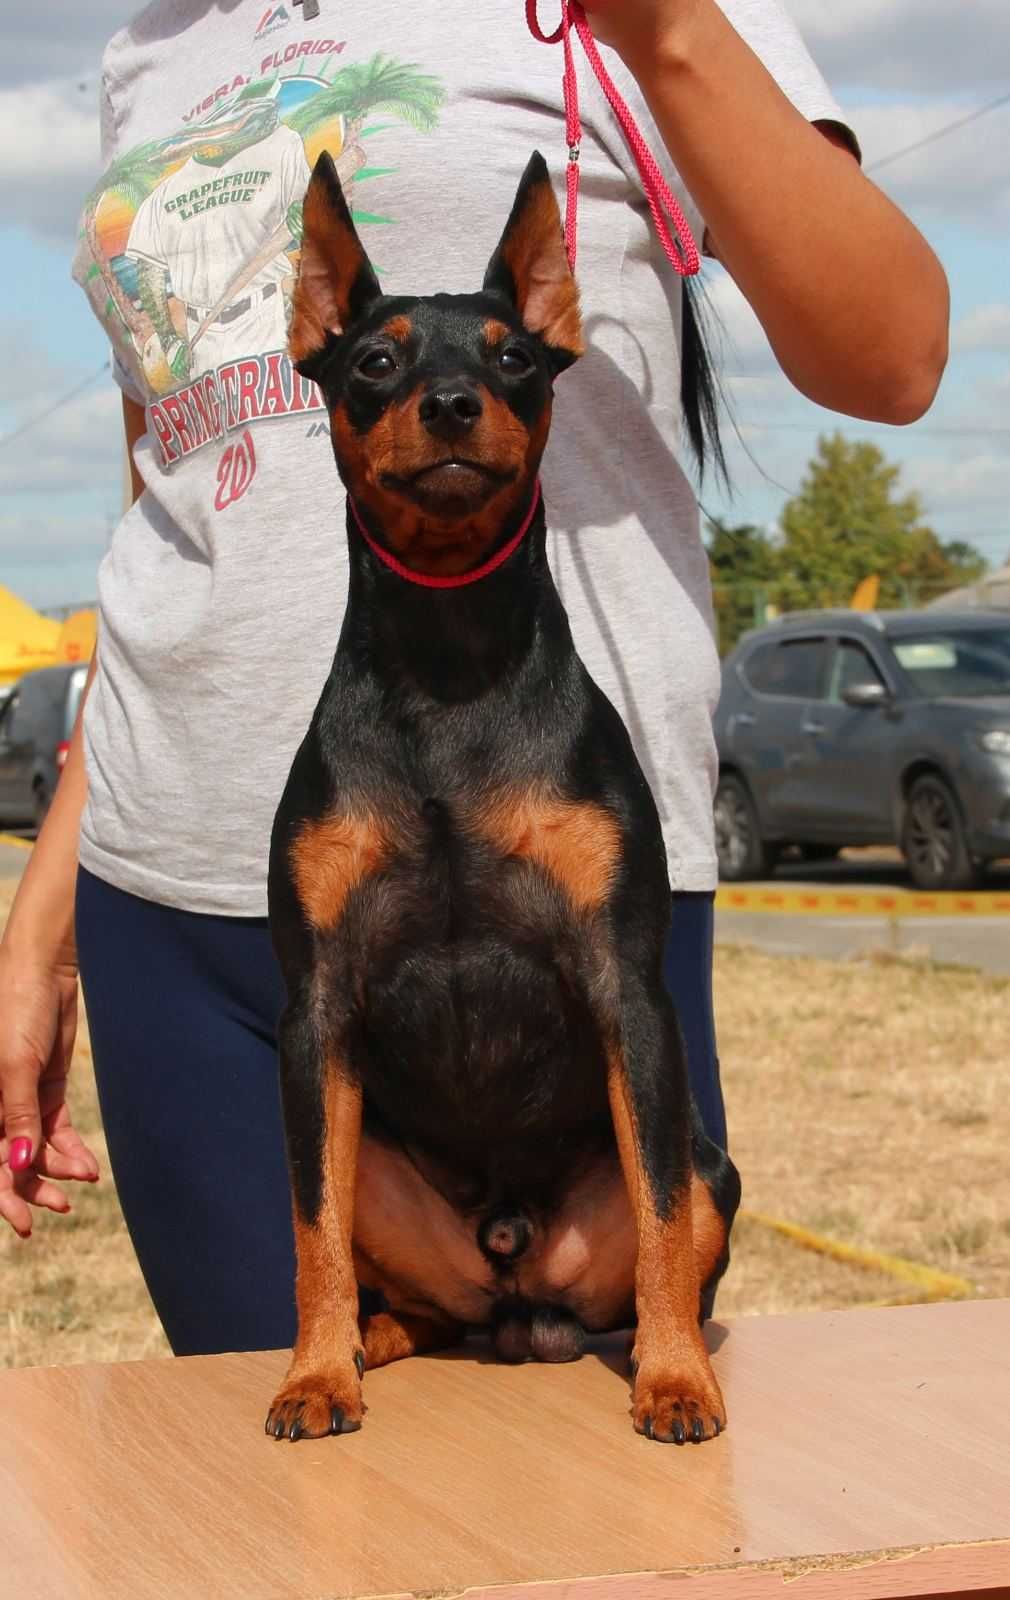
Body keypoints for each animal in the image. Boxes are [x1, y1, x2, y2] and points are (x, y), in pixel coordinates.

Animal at [268, 152, 742, 1452]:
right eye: (373, 361)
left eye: (514, 357)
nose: (446, 405)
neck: (449, 661)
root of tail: (516, 1285)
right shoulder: (315, 1013)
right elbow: (310, 1228)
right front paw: (311, 1375)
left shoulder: (627, 990)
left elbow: (660, 1211)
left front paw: (675, 1384)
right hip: (380, 1163)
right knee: (400, 1286)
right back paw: (364, 1344)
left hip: (710, 1165)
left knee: (663, 1250)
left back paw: (658, 1347)